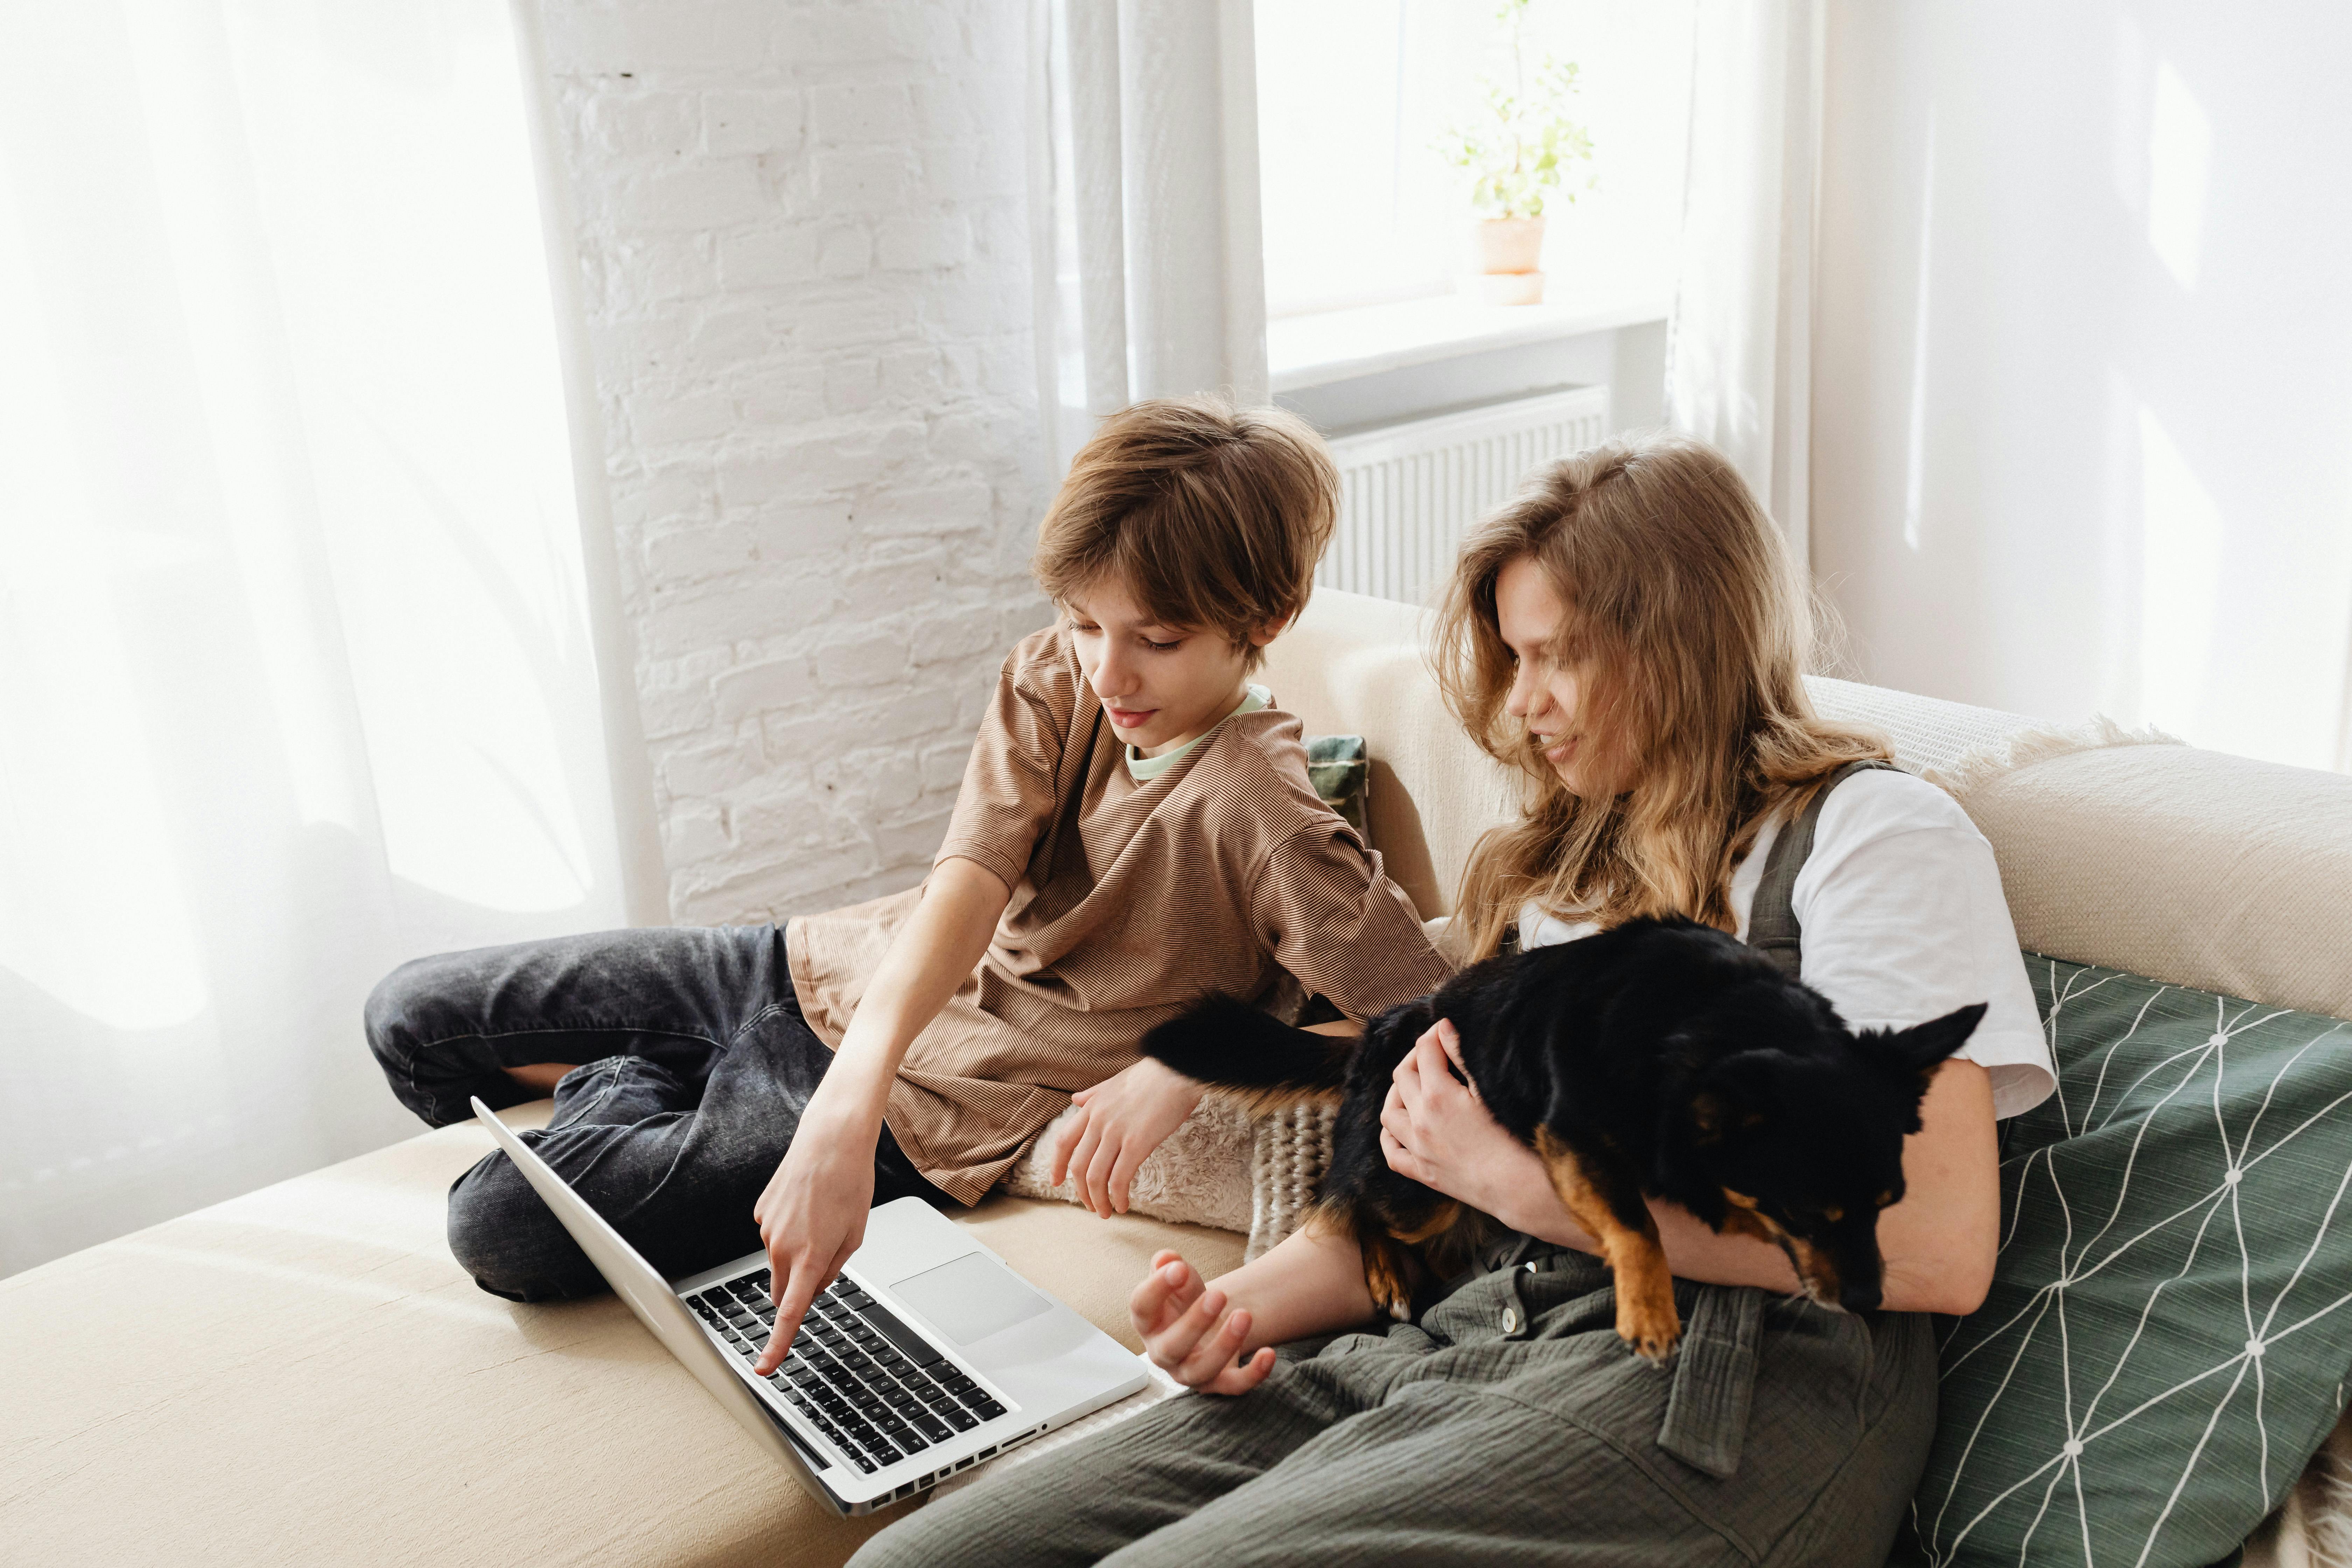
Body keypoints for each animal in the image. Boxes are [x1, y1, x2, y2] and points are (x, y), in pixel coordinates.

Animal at [1138, 921, 1985, 1363]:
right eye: (1811, 1215)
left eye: (1891, 1206)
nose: (1872, 1299)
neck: (1718, 1013)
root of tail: (1381, 1027)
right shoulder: (1572, 1136)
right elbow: (1639, 1224)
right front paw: (1650, 1307)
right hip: (1417, 1191)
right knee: (1351, 1202)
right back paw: (1386, 1275)